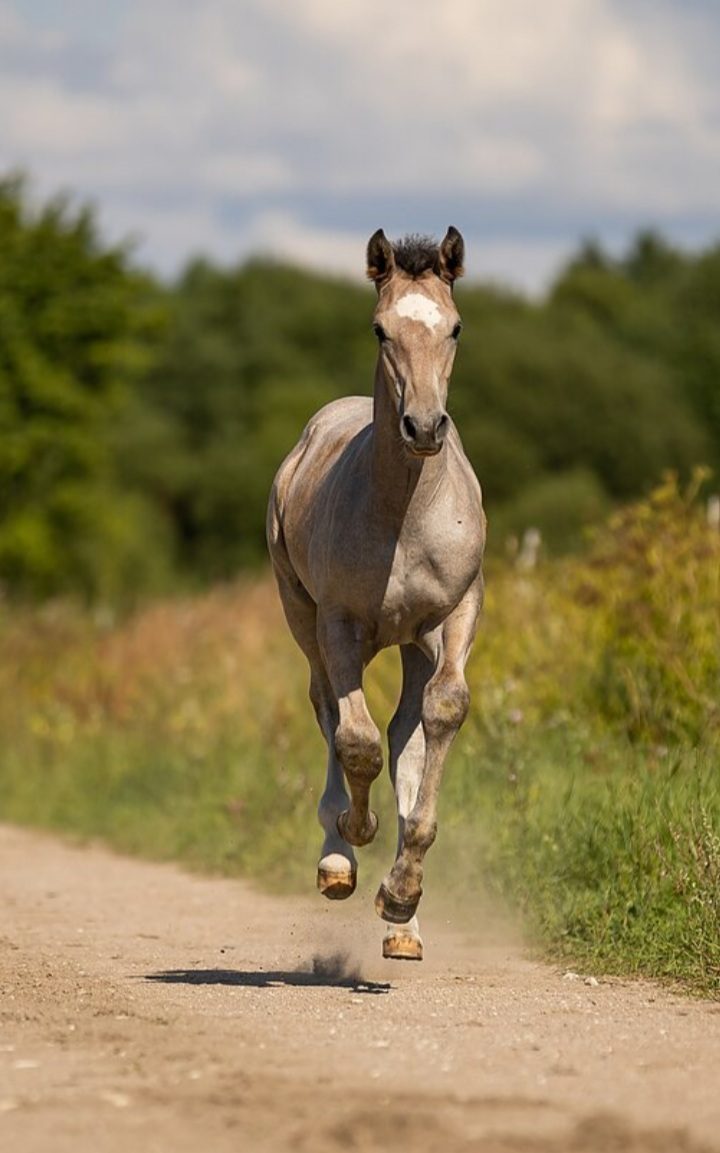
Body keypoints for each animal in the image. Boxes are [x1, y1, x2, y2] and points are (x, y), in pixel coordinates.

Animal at [267, 222, 486, 954]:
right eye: (379, 329)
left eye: (455, 326)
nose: (423, 426)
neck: (404, 513)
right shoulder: (338, 622)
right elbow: (354, 739)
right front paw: (352, 838)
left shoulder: (458, 613)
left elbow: (439, 716)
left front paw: (402, 893)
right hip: (305, 617)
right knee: (330, 712)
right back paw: (339, 856)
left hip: (412, 643)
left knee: (405, 734)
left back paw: (404, 923)